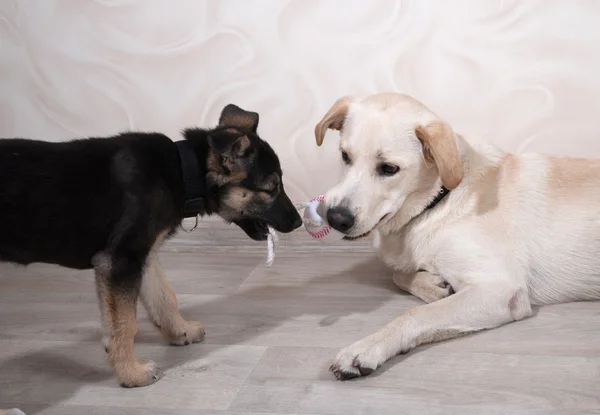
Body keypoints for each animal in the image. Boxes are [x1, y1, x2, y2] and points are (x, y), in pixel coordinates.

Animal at [0, 104, 302, 386]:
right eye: (270, 188)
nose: (299, 222)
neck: (182, 171)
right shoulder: (121, 260)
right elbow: (126, 323)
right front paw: (131, 373)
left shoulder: (141, 256)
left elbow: (163, 297)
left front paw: (179, 331)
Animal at [312, 93, 600, 380]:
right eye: (345, 156)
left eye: (389, 168)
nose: (335, 218)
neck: (438, 202)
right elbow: (398, 274)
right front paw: (434, 285)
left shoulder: (501, 289)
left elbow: (415, 313)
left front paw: (368, 347)